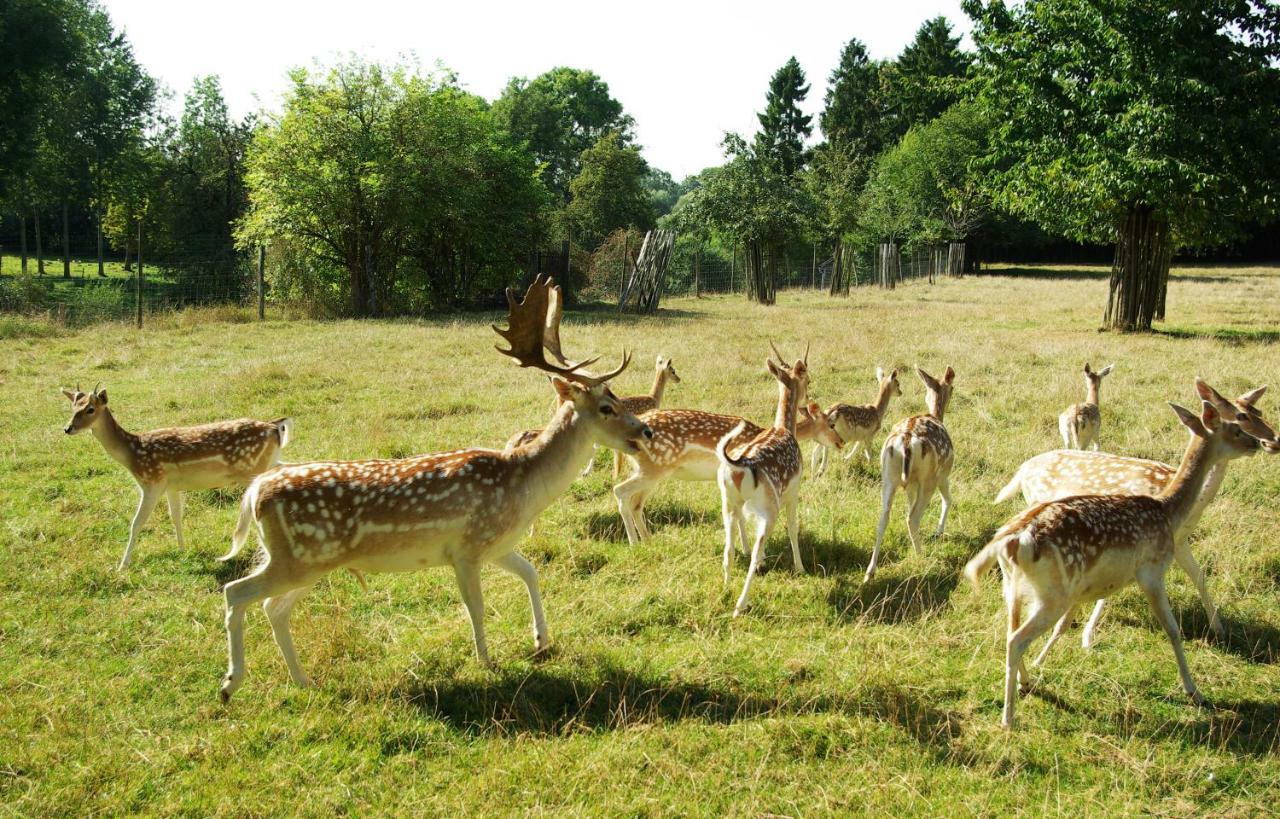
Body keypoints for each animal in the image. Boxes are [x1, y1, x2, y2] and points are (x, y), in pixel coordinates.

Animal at [61, 383, 290, 568]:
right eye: (72, 407)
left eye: (90, 409)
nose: (67, 428)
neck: (132, 453)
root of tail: (274, 427)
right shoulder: (171, 486)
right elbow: (176, 517)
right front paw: (182, 550)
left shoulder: (152, 482)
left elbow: (137, 523)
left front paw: (122, 566)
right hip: (268, 463)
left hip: (254, 469)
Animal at [215, 278, 650, 701]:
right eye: (607, 407)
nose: (645, 430)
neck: (521, 487)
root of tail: (255, 492)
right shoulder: (467, 547)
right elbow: (476, 606)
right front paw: (488, 663)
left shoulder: (498, 545)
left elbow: (531, 572)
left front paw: (541, 640)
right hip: (298, 558)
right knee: (236, 592)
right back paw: (230, 684)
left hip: (307, 562)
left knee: (273, 607)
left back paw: (303, 680)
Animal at [865, 363, 957, 583]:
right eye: (952, 388)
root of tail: (905, 444)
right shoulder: (944, 472)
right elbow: (948, 499)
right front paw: (939, 532)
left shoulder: (910, 485)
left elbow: (908, 503)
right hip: (929, 479)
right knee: (912, 517)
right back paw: (922, 557)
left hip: (888, 477)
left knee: (884, 517)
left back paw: (870, 571)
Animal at [967, 399, 1259, 726]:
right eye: (1236, 428)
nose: (1256, 443)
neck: (1168, 511)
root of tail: (1012, 541)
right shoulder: (1152, 571)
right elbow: (1172, 630)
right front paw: (1194, 691)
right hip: (1052, 593)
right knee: (1016, 640)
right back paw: (1009, 718)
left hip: (1013, 588)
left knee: (1009, 632)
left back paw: (1026, 682)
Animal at [993, 378, 1274, 660]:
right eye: (1240, 417)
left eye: (1259, 411)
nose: (1272, 440)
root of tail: (1023, 468)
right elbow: (1108, 593)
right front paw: (1087, 637)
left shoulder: (1179, 541)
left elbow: (1199, 575)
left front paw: (1219, 630)